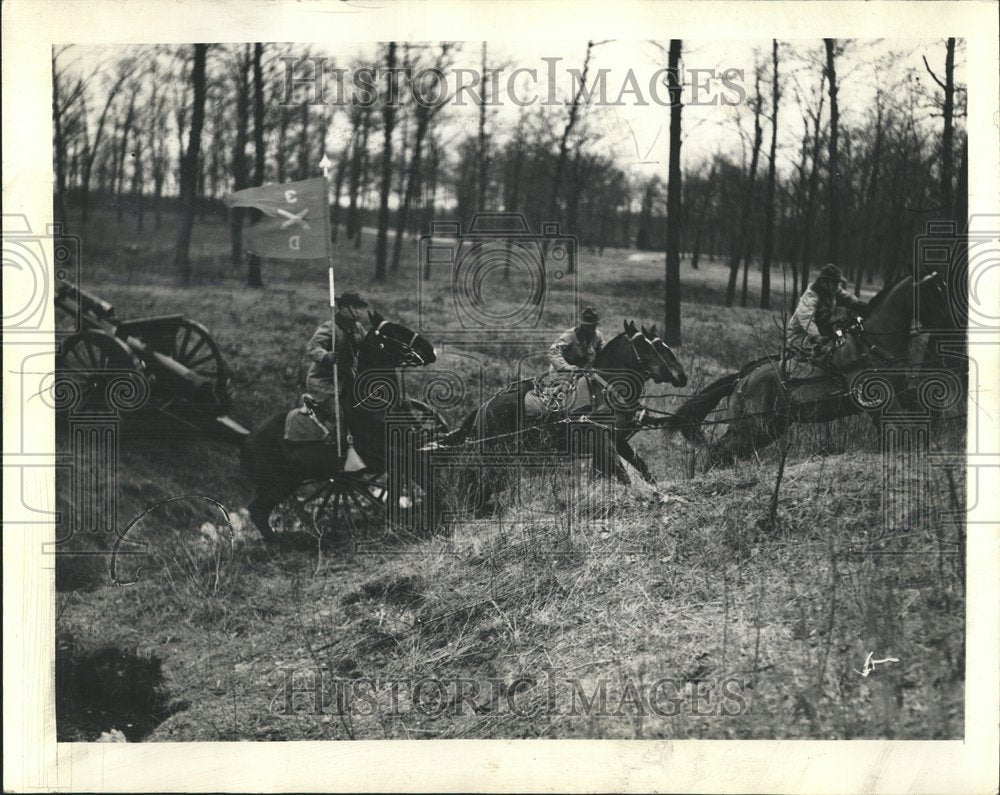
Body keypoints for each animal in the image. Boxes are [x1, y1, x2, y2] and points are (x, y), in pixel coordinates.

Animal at [240, 310, 440, 540]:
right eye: (394, 332)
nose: (430, 350)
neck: (373, 404)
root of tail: (247, 440)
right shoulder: (390, 454)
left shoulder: (406, 448)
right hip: (277, 485)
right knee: (257, 512)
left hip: (290, 482)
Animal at [438, 320, 688, 506]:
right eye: (647, 347)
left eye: (661, 346)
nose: (680, 376)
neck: (605, 389)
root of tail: (484, 406)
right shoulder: (602, 441)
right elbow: (623, 474)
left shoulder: (615, 440)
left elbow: (641, 468)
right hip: (495, 452)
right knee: (479, 479)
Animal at [672, 274, 952, 472]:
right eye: (932, 294)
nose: (948, 324)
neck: (873, 343)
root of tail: (743, 377)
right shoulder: (884, 401)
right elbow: (906, 427)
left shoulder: (895, 396)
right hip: (753, 426)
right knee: (719, 451)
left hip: (769, 427)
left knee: (726, 453)